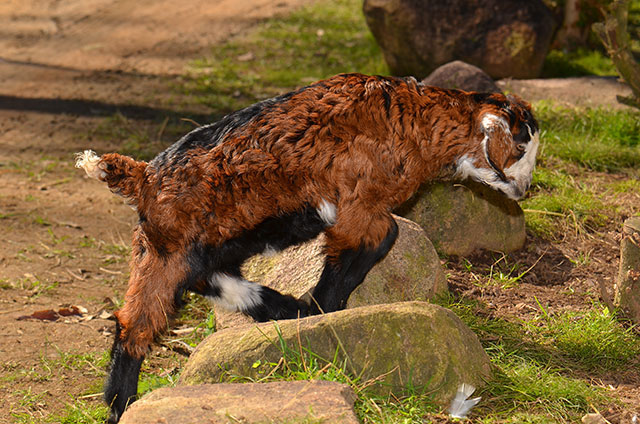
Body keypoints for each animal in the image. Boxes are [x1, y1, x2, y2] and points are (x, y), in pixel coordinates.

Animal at [76, 73, 540, 420]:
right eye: (520, 147)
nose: (525, 190)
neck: (416, 118)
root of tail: (143, 176)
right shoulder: (359, 203)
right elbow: (378, 239)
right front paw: (324, 306)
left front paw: (312, 307)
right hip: (172, 248)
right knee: (145, 316)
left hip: (185, 244)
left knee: (172, 296)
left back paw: (279, 308)